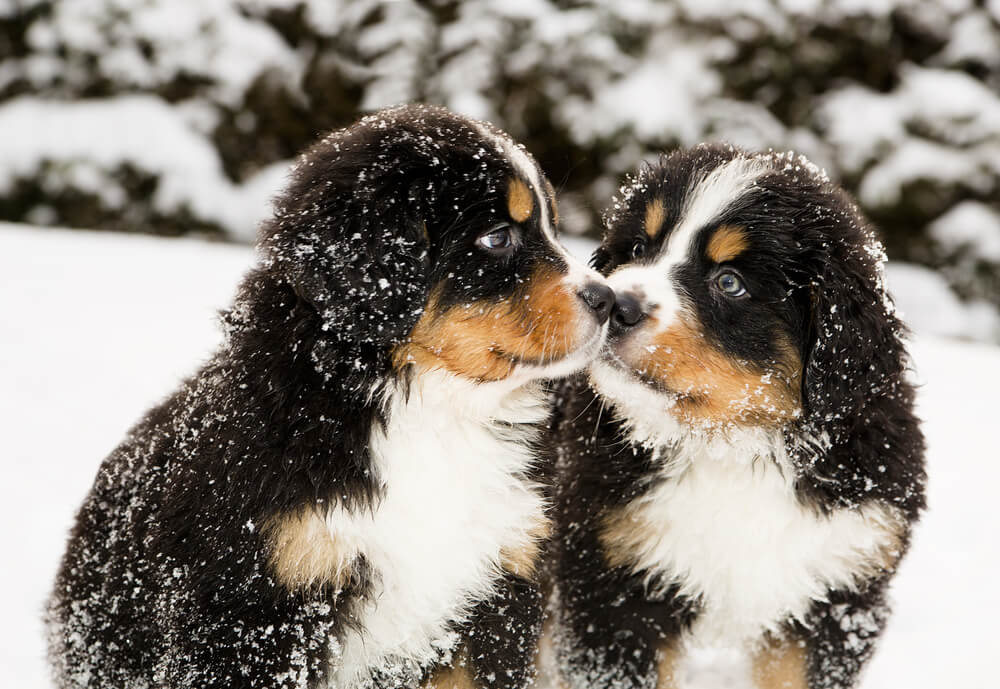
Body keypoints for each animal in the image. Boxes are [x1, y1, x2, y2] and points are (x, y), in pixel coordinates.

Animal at [47, 103, 612, 688]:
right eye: (498, 237)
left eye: (551, 225)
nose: (609, 300)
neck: (430, 410)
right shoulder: (259, 608)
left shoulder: (498, 593)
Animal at [552, 144, 924, 688]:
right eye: (639, 247)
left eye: (729, 282)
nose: (616, 303)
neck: (732, 447)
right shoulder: (614, 587)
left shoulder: (837, 593)